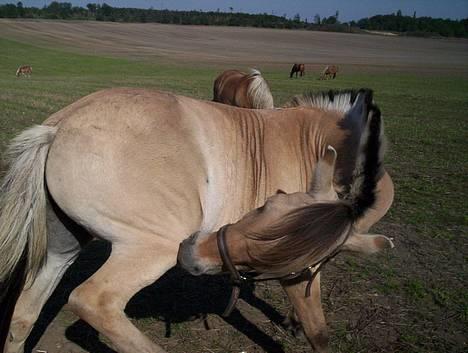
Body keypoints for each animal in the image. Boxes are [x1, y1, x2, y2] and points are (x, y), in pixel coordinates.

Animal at [0, 86, 394, 352]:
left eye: (269, 205)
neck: (308, 142)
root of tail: (59, 128)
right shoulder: (296, 266)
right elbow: (318, 331)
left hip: (62, 247)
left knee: (23, 315)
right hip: (153, 248)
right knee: (94, 301)